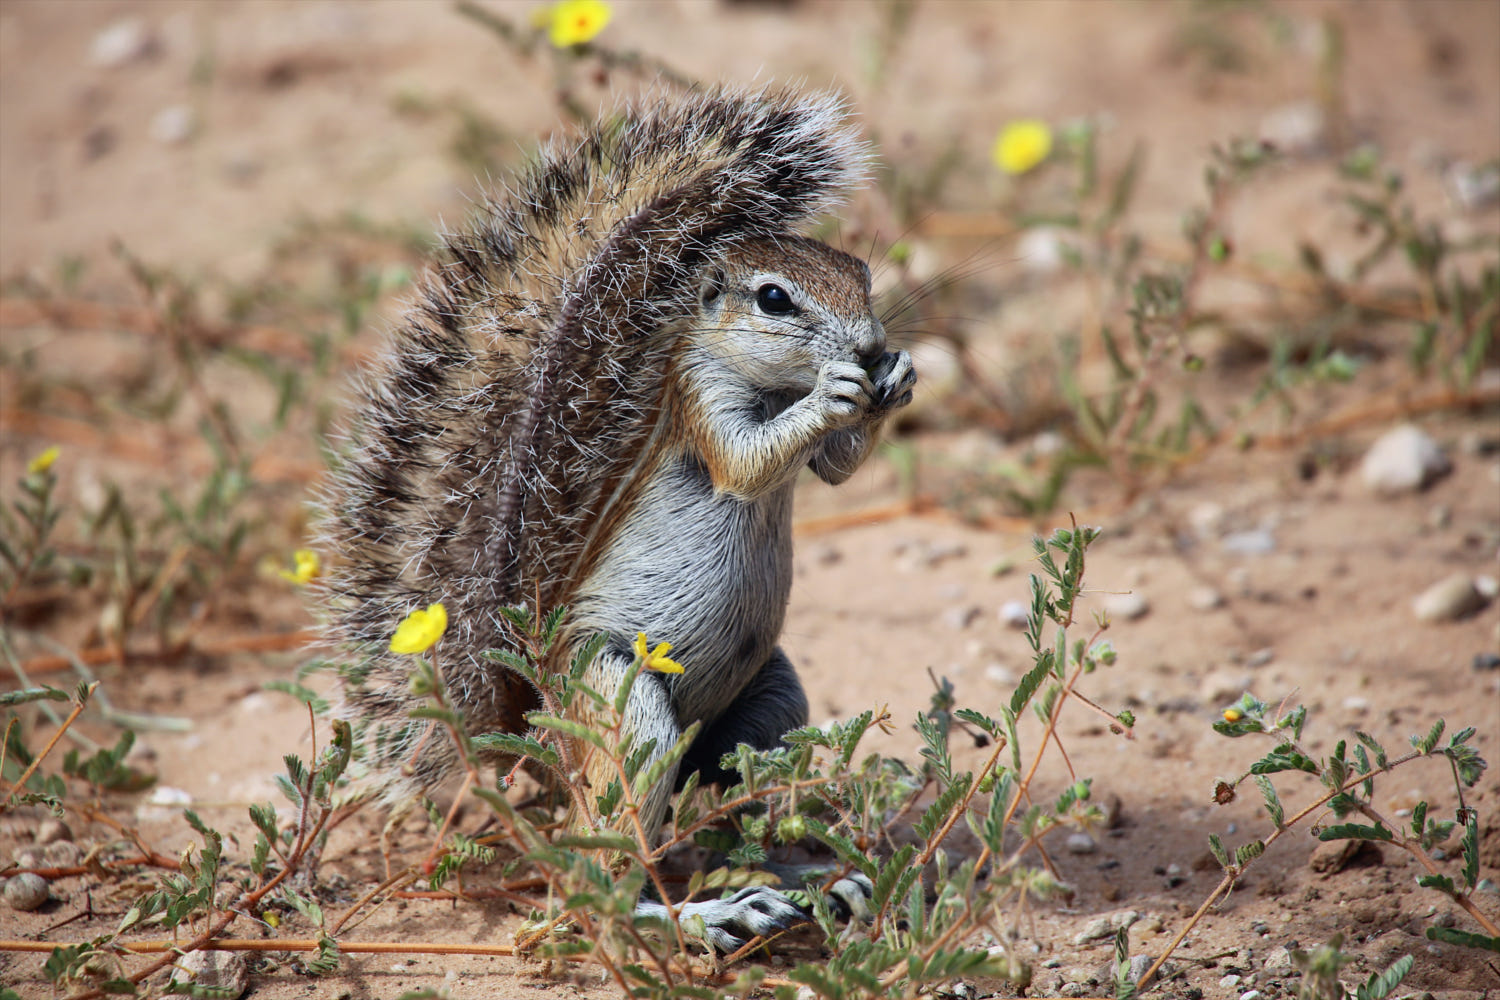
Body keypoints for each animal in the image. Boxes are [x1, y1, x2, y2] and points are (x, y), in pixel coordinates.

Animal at [316, 83, 912, 947]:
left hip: (770, 705)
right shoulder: (700, 407)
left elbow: (838, 468)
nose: (869, 347)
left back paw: (801, 883)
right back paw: (703, 914)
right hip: (623, 701)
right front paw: (835, 392)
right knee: (590, 879)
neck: (769, 383)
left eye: (861, 272)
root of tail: (535, 730)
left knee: (717, 818)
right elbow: (748, 462)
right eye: (774, 298)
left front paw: (895, 379)